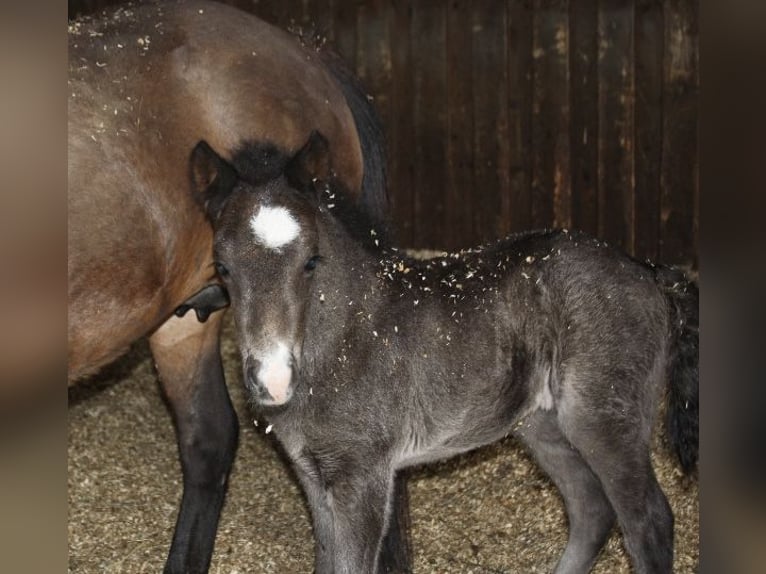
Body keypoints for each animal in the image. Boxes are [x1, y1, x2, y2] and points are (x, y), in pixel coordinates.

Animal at [189, 131, 699, 574]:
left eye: (311, 261)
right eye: (222, 268)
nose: (272, 379)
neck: (343, 340)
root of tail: (650, 273)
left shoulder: (363, 475)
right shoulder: (315, 476)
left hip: (603, 421)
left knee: (649, 521)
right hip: (544, 425)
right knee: (591, 509)